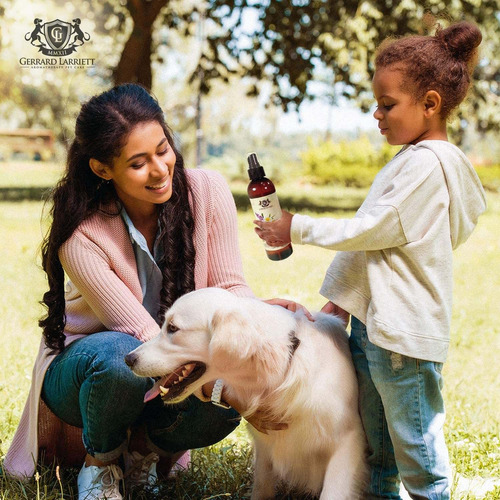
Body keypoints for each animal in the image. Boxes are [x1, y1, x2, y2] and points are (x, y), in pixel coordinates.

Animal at [125, 288, 368, 498]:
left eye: (173, 328)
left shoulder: (347, 443)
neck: (285, 365)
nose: (128, 359)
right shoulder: (265, 449)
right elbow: (261, 488)